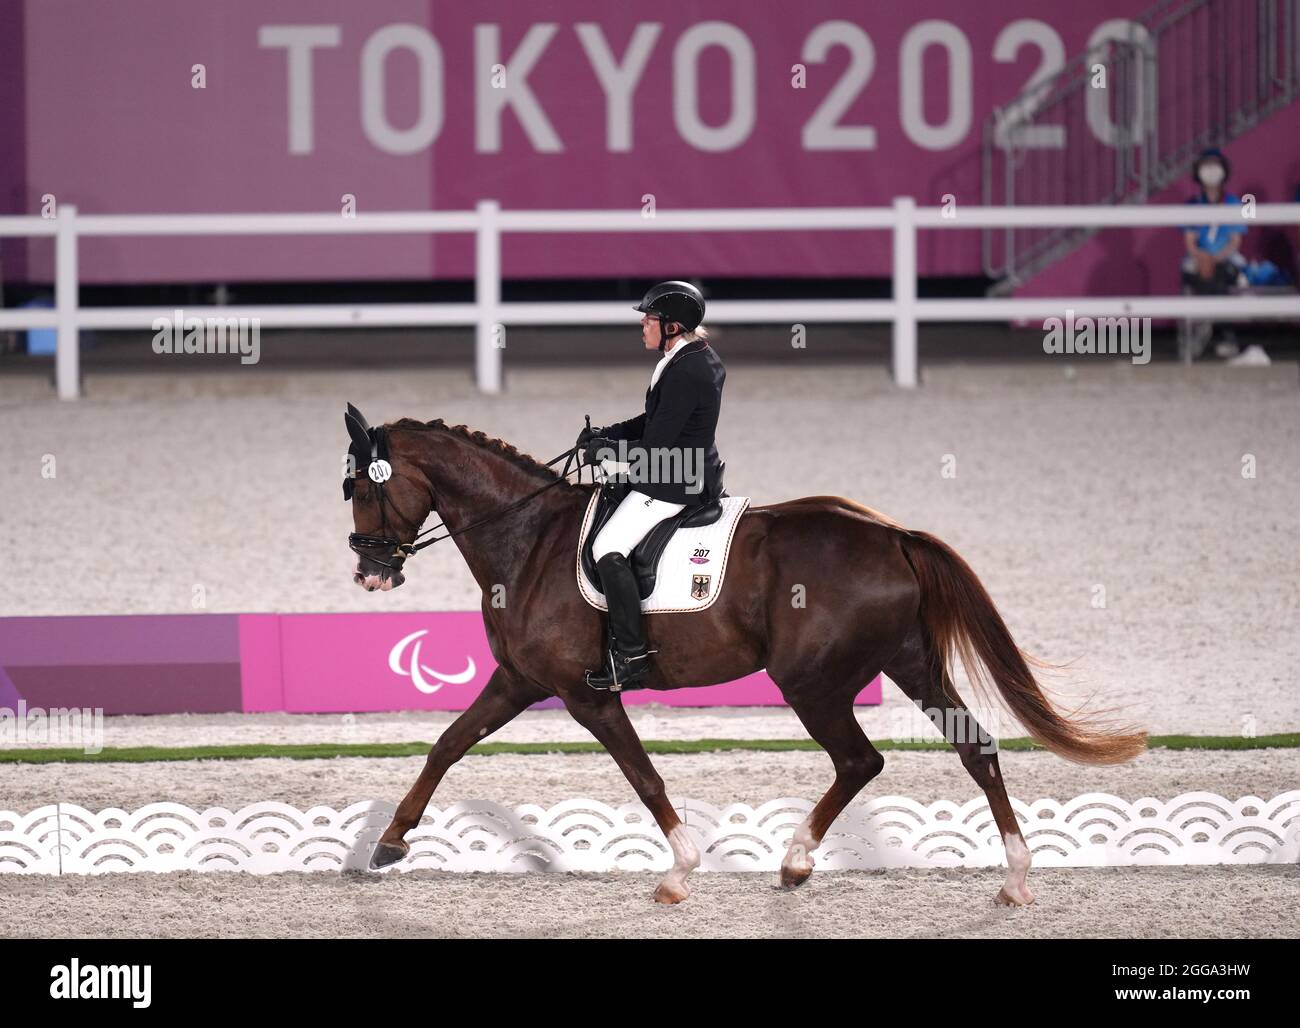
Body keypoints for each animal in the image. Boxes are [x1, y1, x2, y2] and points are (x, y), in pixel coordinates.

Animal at [348, 410, 1149, 909]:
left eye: (360, 487)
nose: (370, 574)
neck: (529, 539)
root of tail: (891, 534)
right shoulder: (518, 681)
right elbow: (446, 744)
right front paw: (388, 843)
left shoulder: (587, 695)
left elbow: (643, 776)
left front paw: (679, 873)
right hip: (908, 664)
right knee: (974, 746)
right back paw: (1014, 880)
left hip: (813, 683)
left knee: (860, 761)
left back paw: (795, 861)